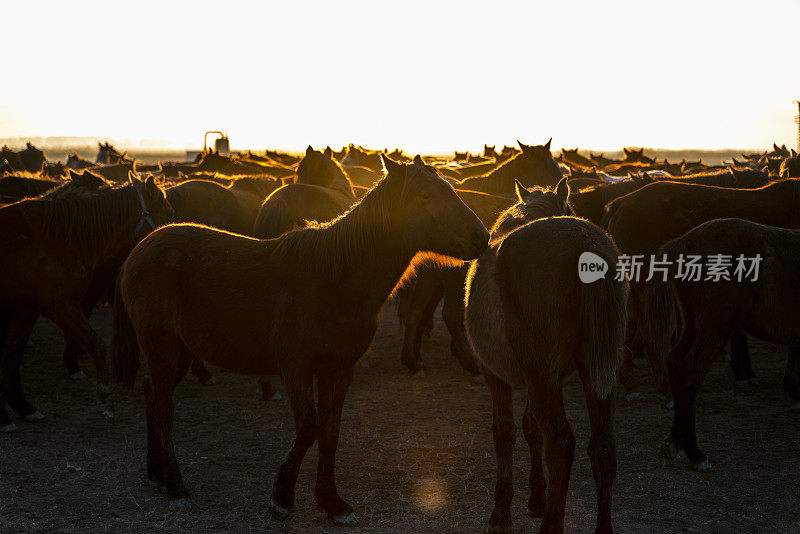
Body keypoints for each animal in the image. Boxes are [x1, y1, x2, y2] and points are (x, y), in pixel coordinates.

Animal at [0, 176, 170, 436]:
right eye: (168, 212)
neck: (58, 238)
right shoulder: (60, 305)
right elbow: (96, 345)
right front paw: (106, 403)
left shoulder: (26, 309)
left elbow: (10, 357)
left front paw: (15, 412)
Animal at [111, 156, 488, 528]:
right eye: (424, 195)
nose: (481, 237)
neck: (335, 280)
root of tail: (141, 248)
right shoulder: (296, 368)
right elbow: (309, 427)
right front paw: (282, 497)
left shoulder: (339, 370)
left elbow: (330, 432)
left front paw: (332, 502)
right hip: (163, 349)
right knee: (164, 410)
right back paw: (176, 488)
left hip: (181, 353)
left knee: (152, 392)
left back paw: (157, 472)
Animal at [466, 178, 628, 532]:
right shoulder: (536, 377)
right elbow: (531, 428)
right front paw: (536, 498)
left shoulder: (496, 373)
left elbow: (505, 433)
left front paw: (501, 512)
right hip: (595, 376)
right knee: (603, 447)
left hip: (543, 377)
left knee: (561, 443)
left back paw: (552, 524)